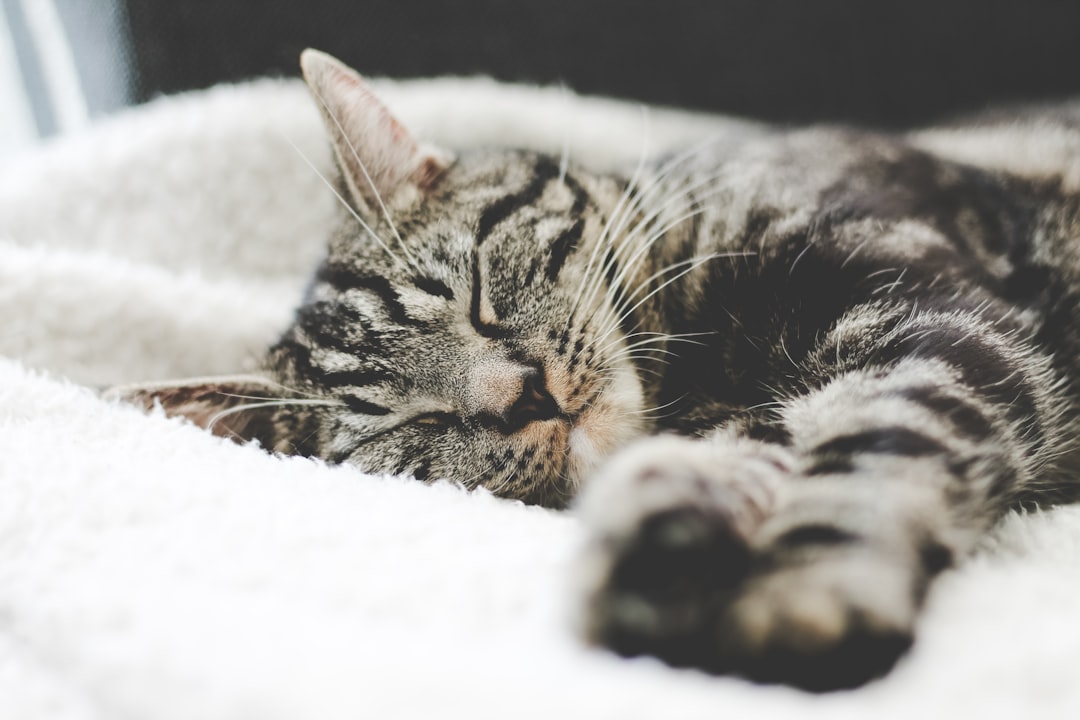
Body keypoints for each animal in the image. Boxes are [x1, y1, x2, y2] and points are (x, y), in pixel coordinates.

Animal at [116, 50, 1080, 690]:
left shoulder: (935, 319)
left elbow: (880, 442)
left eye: (474, 291)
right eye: (413, 424)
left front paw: (806, 592)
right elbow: (725, 462)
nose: (520, 396)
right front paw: (663, 542)